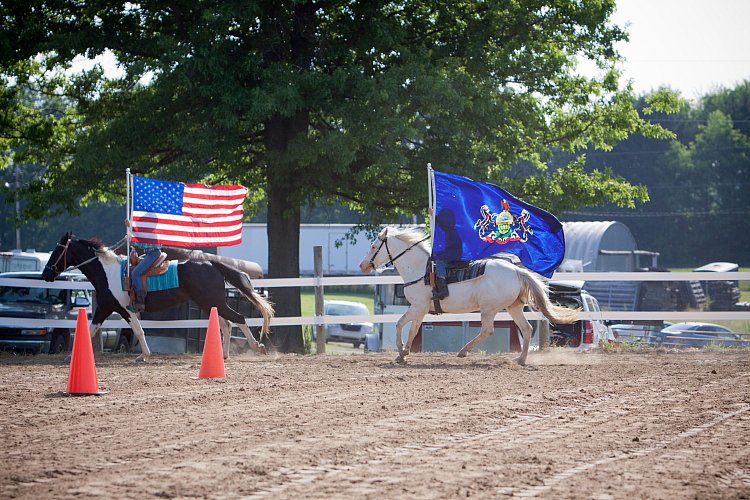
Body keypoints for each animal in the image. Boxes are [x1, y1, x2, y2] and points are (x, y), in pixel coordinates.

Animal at [42, 232, 276, 362]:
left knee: (238, 319)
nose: (45, 274)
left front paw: (144, 355)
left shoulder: (120, 309)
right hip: (211, 303)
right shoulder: (108, 308)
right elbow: (94, 330)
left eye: (57, 251)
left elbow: (136, 331)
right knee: (226, 325)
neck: (108, 273)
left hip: (214, 302)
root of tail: (211, 262)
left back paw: (258, 347)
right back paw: (225, 355)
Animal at [360, 227, 580, 364]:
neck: (418, 268)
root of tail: (517, 271)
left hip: (489, 308)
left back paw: (463, 351)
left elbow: (405, 327)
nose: (362, 265)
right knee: (526, 329)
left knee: (488, 330)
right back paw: (520, 359)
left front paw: (402, 353)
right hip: (513, 307)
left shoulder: (418, 307)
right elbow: (407, 327)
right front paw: (402, 354)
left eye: (373, 247)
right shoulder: (419, 309)